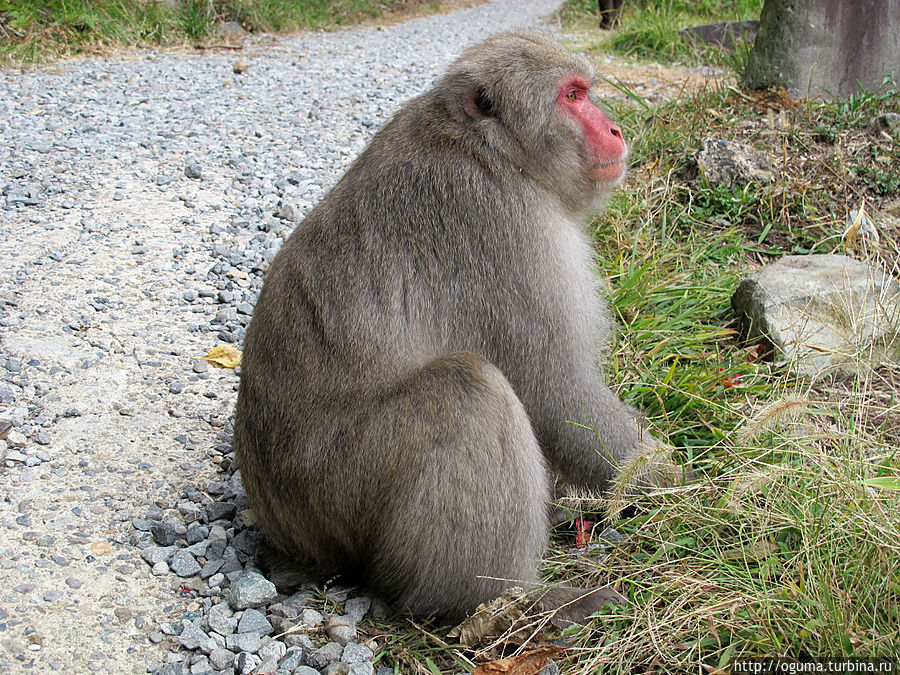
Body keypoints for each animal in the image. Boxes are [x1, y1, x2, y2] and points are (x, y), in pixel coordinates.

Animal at [232, 30, 668, 624]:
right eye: (573, 96)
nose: (616, 129)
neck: (494, 152)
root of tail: (285, 533)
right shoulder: (503, 226)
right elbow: (556, 391)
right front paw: (683, 483)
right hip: (337, 486)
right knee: (468, 389)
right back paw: (497, 600)